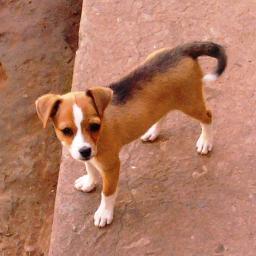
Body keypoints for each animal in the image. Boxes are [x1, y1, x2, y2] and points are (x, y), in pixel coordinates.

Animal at [35, 42, 226, 228]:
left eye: (95, 126)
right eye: (66, 131)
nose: (85, 151)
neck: (101, 131)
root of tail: (181, 50)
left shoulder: (111, 166)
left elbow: (107, 192)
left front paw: (104, 213)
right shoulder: (88, 155)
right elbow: (89, 167)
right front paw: (89, 182)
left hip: (190, 102)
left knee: (208, 116)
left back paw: (205, 142)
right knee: (162, 114)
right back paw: (152, 132)